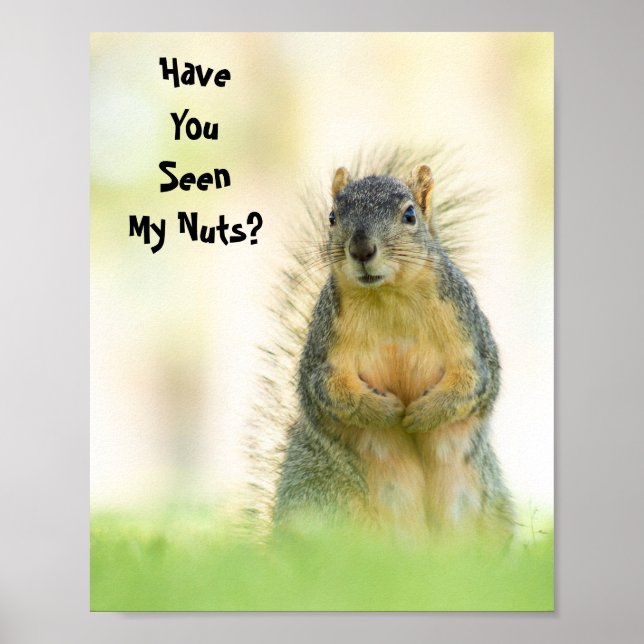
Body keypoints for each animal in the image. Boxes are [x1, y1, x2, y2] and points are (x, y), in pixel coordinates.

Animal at [259, 149, 514, 543]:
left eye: (410, 215)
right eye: (332, 216)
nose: (361, 249)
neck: (388, 297)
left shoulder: (469, 335)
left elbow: (474, 381)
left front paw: (423, 413)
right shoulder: (324, 350)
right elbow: (330, 390)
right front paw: (387, 411)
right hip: (322, 501)